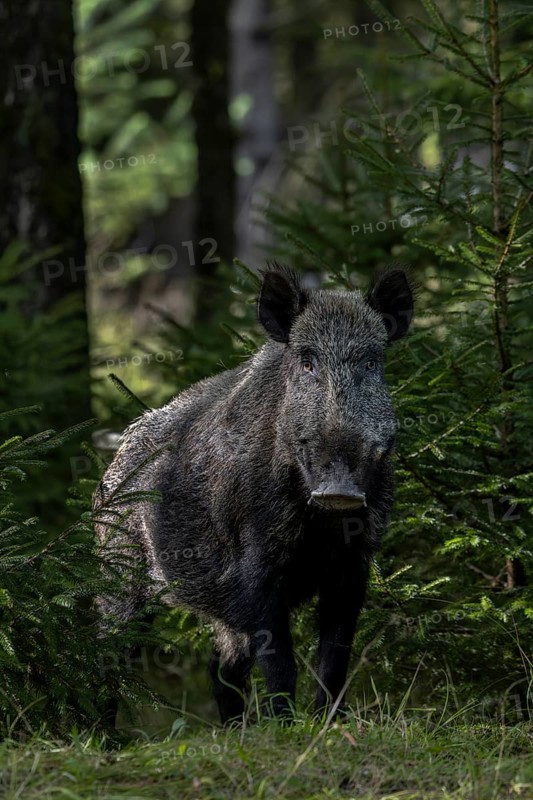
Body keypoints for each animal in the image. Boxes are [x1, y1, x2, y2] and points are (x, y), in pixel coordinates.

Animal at [93, 263, 414, 723]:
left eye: (372, 362)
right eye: (307, 362)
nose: (340, 488)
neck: (318, 525)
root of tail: (109, 471)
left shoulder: (354, 563)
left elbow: (334, 659)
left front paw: (326, 724)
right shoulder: (254, 564)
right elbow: (281, 662)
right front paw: (286, 725)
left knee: (220, 668)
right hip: (118, 573)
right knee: (104, 658)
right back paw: (103, 735)